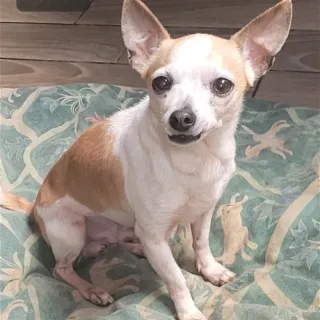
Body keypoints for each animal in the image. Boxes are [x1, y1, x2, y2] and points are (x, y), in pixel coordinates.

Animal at [0, 1, 292, 318]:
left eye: (223, 85)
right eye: (161, 83)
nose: (181, 117)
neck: (195, 159)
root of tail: (35, 208)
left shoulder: (203, 212)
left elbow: (201, 244)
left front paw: (210, 270)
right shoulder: (153, 232)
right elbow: (176, 278)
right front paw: (188, 311)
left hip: (121, 227)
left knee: (118, 241)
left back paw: (134, 249)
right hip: (71, 231)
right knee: (61, 269)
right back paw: (91, 289)